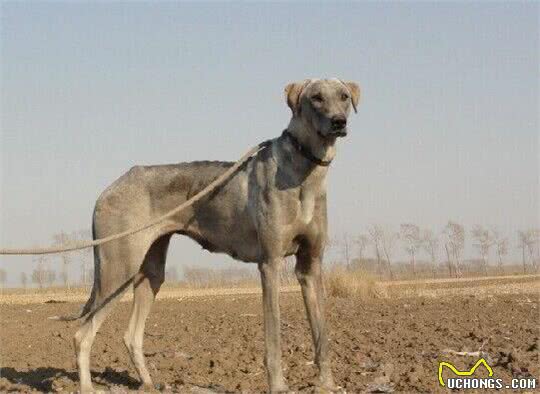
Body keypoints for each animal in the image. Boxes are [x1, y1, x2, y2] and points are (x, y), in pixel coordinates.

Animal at [71, 78, 358, 392]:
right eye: (316, 97)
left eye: (344, 97)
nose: (339, 122)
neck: (304, 171)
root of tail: (108, 190)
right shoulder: (270, 264)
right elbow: (274, 339)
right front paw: (278, 386)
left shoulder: (311, 264)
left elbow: (322, 335)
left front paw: (327, 384)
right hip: (118, 269)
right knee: (81, 334)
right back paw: (88, 387)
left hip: (150, 272)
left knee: (131, 335)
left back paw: (148, 383)